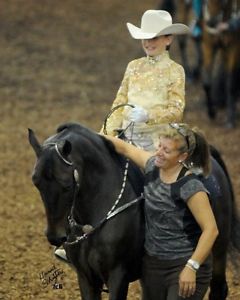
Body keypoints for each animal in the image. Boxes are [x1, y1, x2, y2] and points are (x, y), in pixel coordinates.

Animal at [29, 122, 240, 300]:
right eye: (36, 182)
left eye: (66, 185)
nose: (55, 236)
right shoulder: (86, 278)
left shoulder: (118, 275)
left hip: (217, 251)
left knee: (218, 288)